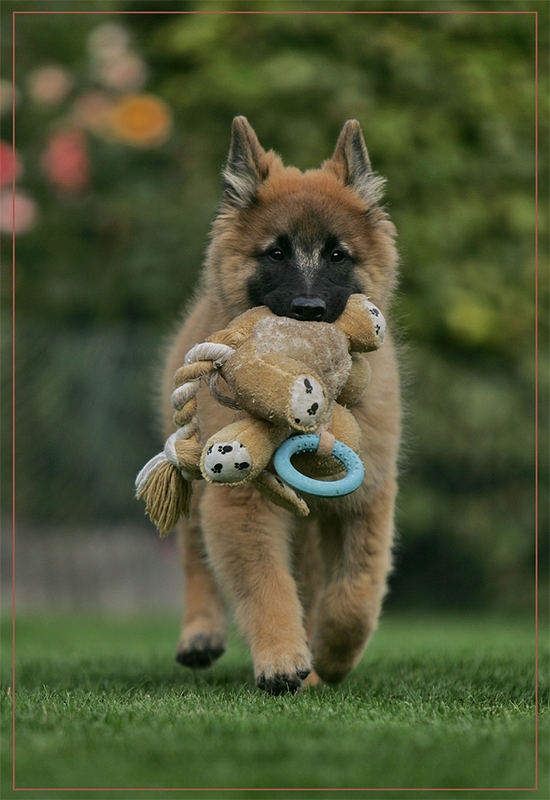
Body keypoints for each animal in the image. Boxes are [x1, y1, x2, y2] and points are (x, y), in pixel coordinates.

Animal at [164, 114, 402, 692]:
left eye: (338, 255)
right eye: (276, 252)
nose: (309, 310)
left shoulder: (366, 499)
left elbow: (357, 591)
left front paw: (331, 657)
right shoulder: (238, 502)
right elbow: (265, 585)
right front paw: (281, 658)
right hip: (192, 474)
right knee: (194, 557)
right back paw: (200, 633)